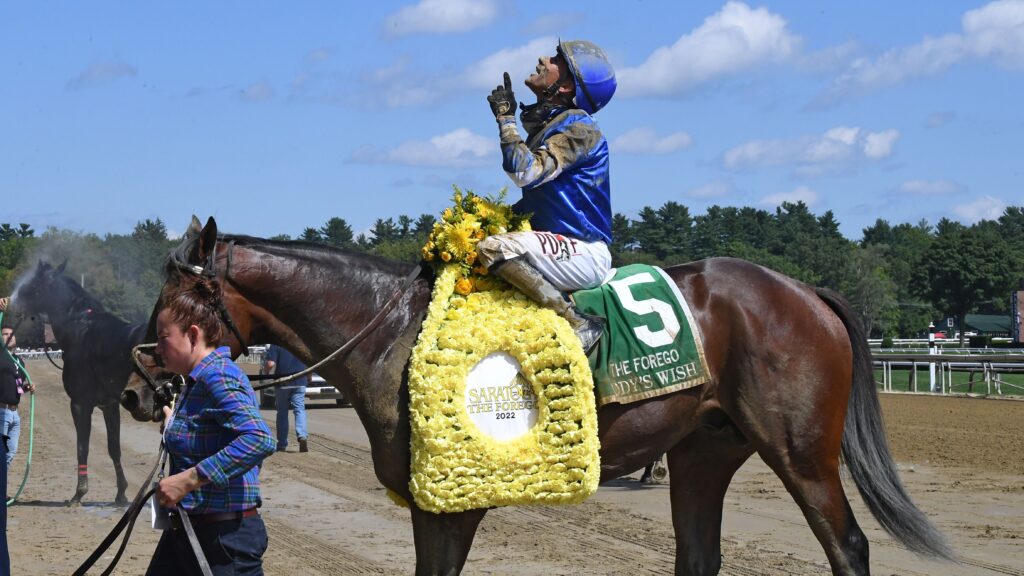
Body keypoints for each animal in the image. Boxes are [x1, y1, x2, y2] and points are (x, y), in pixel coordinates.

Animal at [14, 260, 146, 505]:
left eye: (34, 284)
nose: (16, 300)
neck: (82, 328)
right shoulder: (109, 405)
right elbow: (114, 447)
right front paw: (121, 493)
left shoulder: (80, 404)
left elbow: (82, 447)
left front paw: (79, 492)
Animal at [121, 217, 953, 575]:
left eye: (173, 303)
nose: (135, 388)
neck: (391, 331)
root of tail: (803, 292)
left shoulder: (449, 506)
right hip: (702, 451)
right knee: (699, 553)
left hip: (800, 451)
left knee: (847, 547)